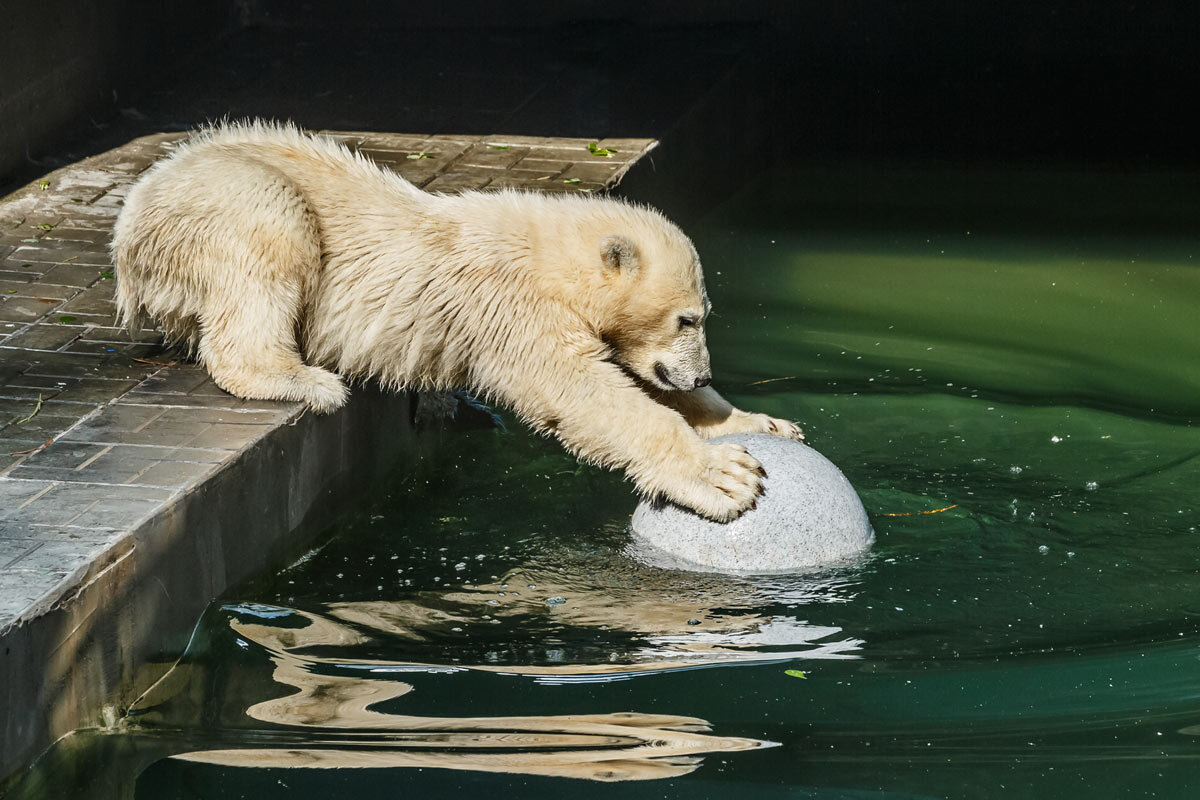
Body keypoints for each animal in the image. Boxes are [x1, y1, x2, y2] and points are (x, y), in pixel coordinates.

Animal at [112, 118, 801, 520]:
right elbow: (580, 389)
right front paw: (725, 477)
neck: (548, 253)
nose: (700, 373)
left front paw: (761, 423)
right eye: (688, 319)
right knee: (270, 229)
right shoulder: (511, 306)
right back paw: (301, 379)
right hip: (216, 201)